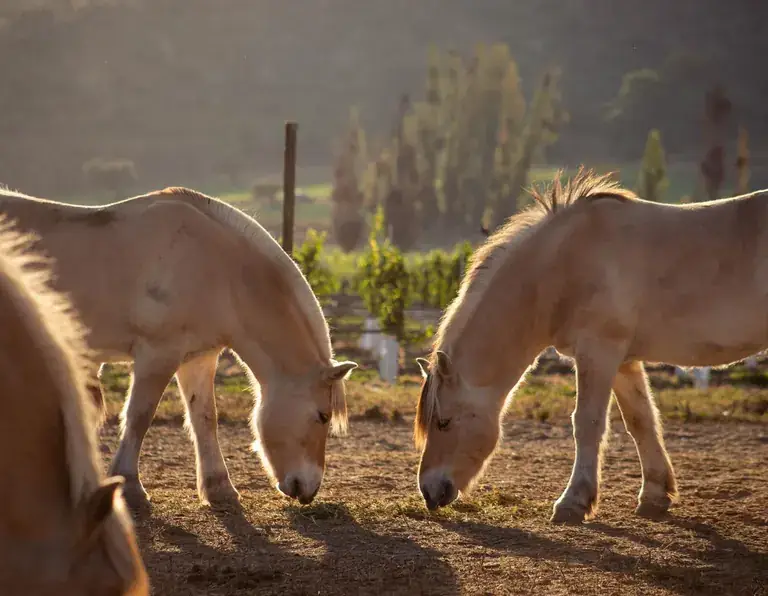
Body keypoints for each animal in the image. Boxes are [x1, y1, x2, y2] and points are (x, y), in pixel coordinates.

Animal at [0, 186, 357, 510]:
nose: (309, 489)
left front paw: (219, 488)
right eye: (323, 416)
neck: (218, 268)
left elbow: (204, 418)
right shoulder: (158, 355)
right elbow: (139, 416)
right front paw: (131, 486)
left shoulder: (198, 358)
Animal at [414, 167, 768, 524]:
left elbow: (587, 423)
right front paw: (654, 496)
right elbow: (641, 421)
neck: (563, 262)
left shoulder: (597, 353)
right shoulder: (623, 361)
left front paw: (573, 502)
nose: (429, 491)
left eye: (444, 422)